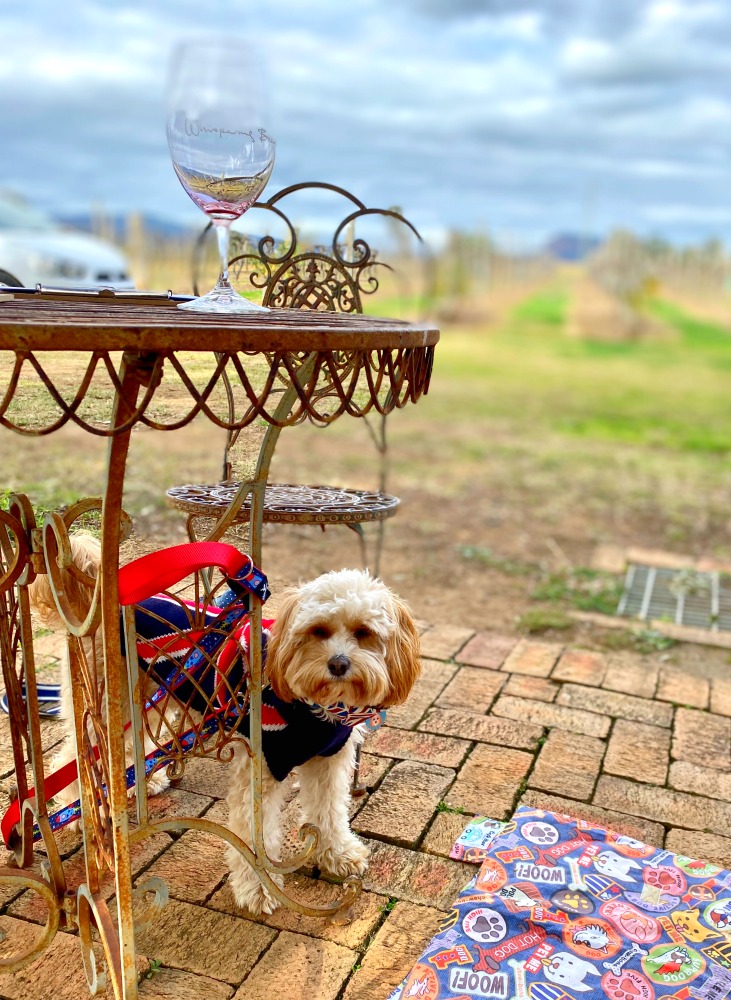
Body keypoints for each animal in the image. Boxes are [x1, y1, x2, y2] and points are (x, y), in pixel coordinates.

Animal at [28, 532, 420, 916]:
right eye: (318, 631)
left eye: (364, 632)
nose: (338, 664)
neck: (315, 708)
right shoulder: (261, 767)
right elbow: (254, 837)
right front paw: (259, 889)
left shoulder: (329, 760)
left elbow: (329, 811)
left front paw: (337, 854)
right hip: (113, 705)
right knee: (74, 759)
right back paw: (83, 812)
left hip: (148, 703)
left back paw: (145, 779)